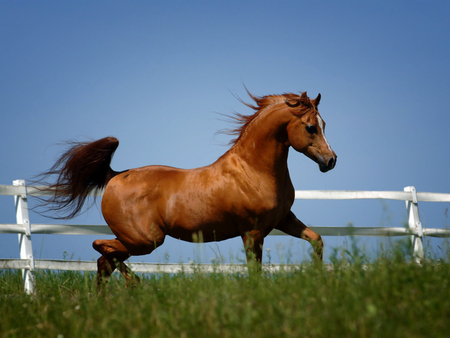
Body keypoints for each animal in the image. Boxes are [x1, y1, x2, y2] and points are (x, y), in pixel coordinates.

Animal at [37, 90, 334, 286]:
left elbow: (316, 240)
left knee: (104, 261)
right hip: (145, 240)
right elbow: (255, 273)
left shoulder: (283, 219)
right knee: (101, 248)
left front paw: (319, 281)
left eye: (324, 124)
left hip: (136, 241)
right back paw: (136, 285)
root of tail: (115, 176)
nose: (331, 160)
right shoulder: (252, 232)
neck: (253, 170)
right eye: (310, 127)